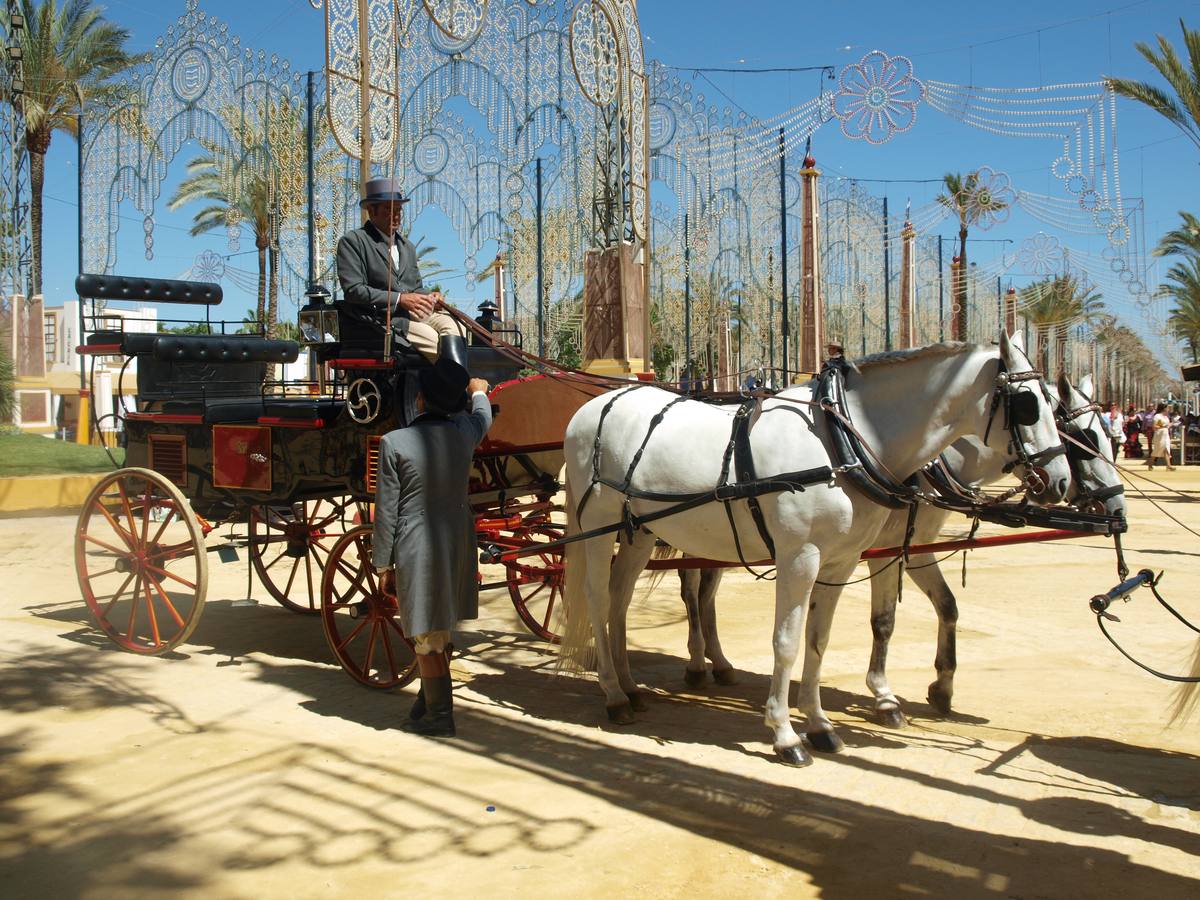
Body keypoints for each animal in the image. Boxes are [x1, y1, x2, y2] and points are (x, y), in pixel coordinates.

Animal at [556, 336, 1075, 763]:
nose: (1061, 481)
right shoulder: (800, 556)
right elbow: (786, 642)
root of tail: (595, 405)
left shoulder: (841, 560)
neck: (841, 440)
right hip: (597, 527)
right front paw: (785, 734)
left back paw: (630, 686)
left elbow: (819, 640)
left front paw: (821, 725)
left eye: (1053, 403)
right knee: (598, 599)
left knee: (620, 600)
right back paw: (613, 695)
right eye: (1028, 404)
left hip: (639, 530)